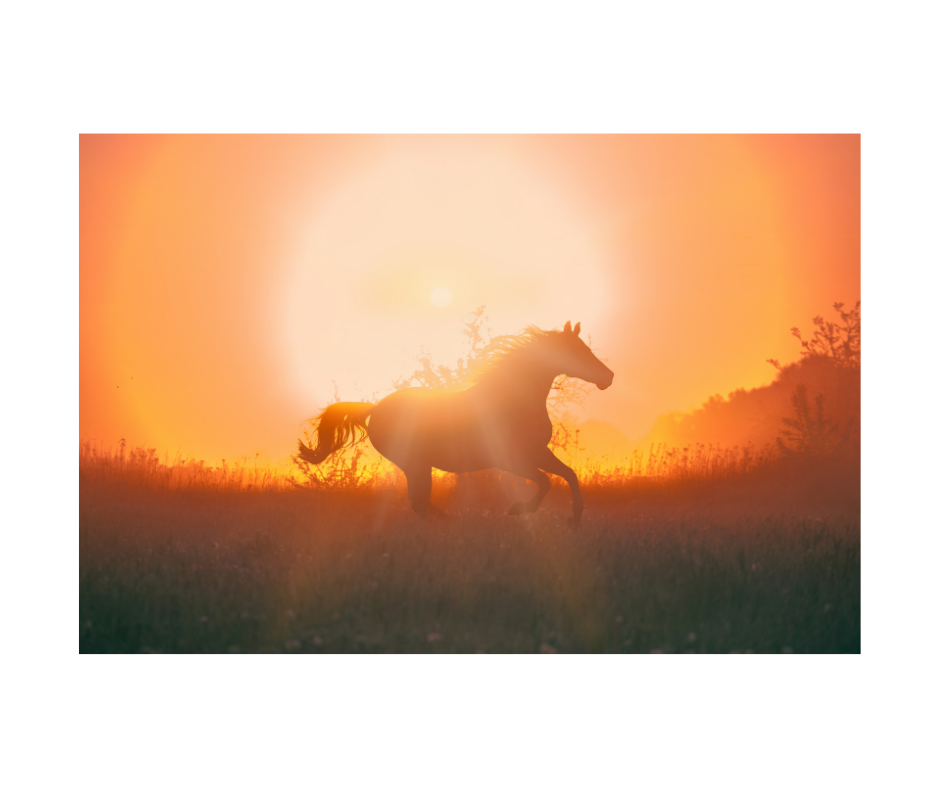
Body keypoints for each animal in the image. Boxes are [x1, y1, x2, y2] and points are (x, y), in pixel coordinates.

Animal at [297, 321, 614, 524]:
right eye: (578, 351)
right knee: (419, 502)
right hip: (415, 463)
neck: (513, 400)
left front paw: (575, 517)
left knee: (419, 502)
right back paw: (448, 523)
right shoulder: (509, 459)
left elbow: (568, 474)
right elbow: (546, 481)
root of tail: (376, 409)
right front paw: (518, 509)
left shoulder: (537, 452)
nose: (608, 377)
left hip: (418, 465)